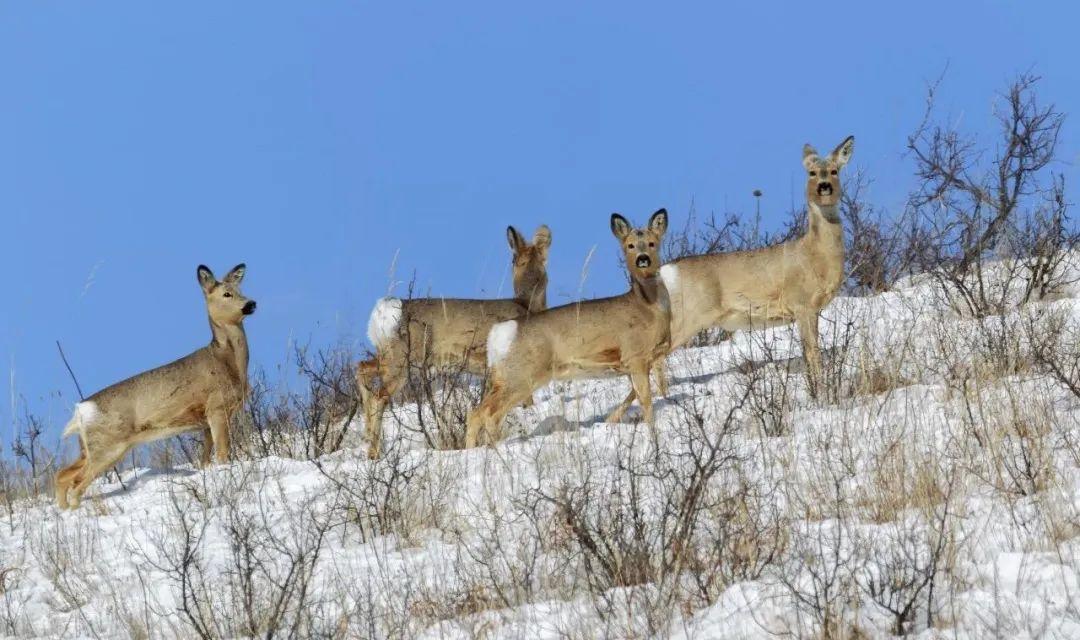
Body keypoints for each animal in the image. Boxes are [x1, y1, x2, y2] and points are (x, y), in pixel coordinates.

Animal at [54, 263, 257, 509]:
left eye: (240, 290)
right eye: (226, 294)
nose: (251, 304)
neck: (226, 362)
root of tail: (81, 410)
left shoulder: (205, 422)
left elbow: (205, 459)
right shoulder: (217, 408)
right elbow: (223, 454)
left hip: (89, 448)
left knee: (61, 475)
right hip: (107, 446)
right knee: (77, 483)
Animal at [358, 222, 552, 457]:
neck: (526, 304)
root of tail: (385, 311)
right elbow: (525, 399)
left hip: (388, 356)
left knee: (361, 368)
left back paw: (367, 436)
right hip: (402, 361)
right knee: (379, 396)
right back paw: (374, 452)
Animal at [468, 207, 669, 446]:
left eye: (652, 243)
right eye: (629, 245)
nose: (643, 259)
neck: (648, 306)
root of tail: (498, 334)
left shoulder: (644, 360)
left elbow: (641, 393)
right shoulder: (635, 355)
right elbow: (646, 399)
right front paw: (653, 436)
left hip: (503, 377)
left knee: (476, 414)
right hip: (522, 375)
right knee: (490, 413)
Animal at [622, 135, 855, 405]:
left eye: (835, 170)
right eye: (812, 172)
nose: (824, 186)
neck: (815, 255)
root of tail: (666, 271)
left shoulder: (812, 309)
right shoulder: (801, 304)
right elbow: (812, 352)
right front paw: (819, 393)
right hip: (686, 317)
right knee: (656, 358)